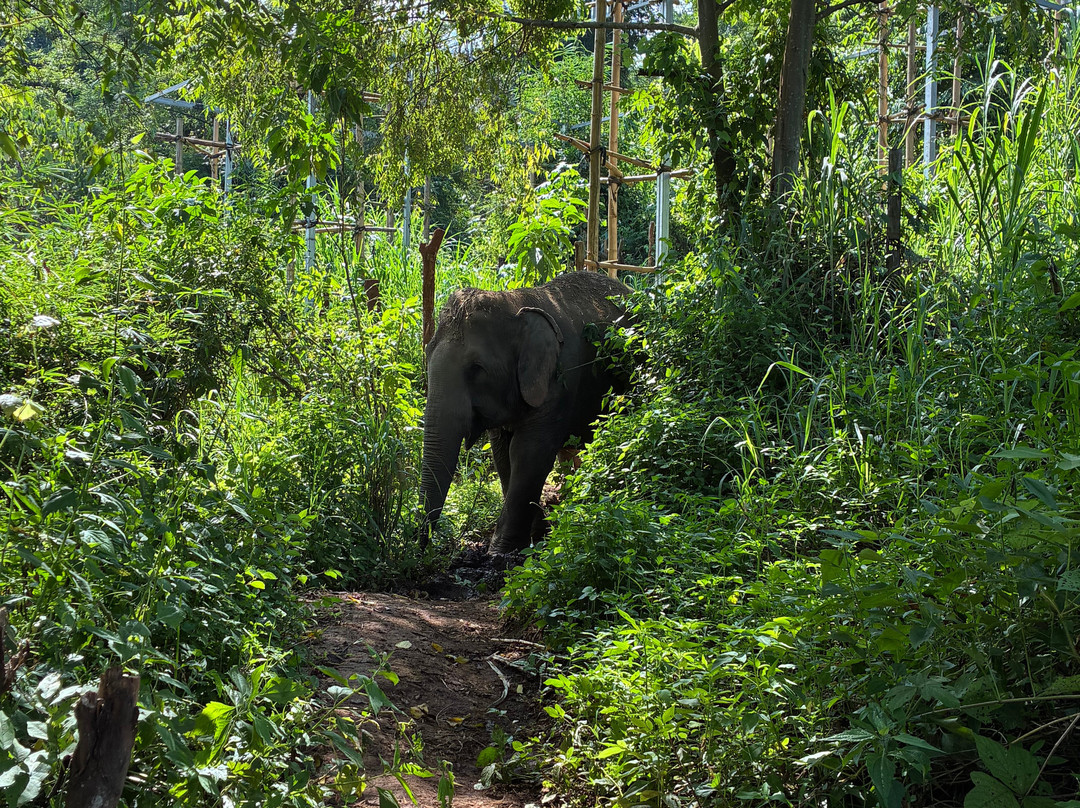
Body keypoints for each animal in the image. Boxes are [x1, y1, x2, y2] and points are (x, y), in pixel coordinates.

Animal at [419, 271, 630, 554]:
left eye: (476, 368)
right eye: (427, 353)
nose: (421, 549)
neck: (515, 301)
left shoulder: (560, 378)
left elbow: (529, 451)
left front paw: (500, 551)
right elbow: (503, 453)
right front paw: (537, 534)